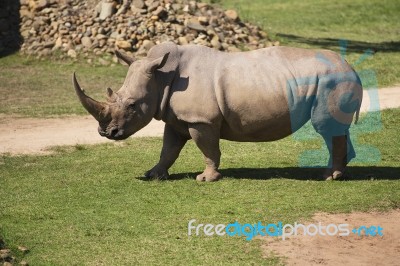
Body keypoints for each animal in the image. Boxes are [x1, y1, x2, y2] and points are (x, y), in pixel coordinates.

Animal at [72, 41, 362, 182]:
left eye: (132, 105)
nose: (106, 132)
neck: (161, 78)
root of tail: (351, 66)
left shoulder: (201, 120)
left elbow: (208, 149)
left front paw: (205, 179)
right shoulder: (177, 119)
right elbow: (168, 149)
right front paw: (153, 175)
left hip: (332, 80)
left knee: (325, 127)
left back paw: (329, 177)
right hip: (332, 79)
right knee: (335, 129)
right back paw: (339, 172)